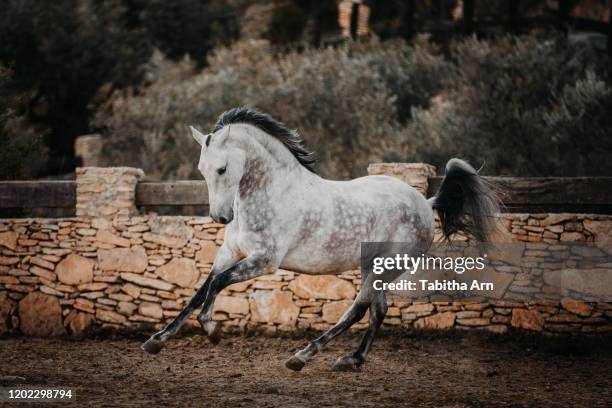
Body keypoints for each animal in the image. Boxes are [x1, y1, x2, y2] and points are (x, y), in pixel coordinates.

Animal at [141, 107, 500, 372]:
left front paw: (211, 330)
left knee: (358, 309)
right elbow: (201, 289)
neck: (270, 191)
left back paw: (302, 357)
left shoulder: (264, 261)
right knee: (378, 309)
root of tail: (425, 204)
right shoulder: (230, 252)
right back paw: (352, 360)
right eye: (201, 169)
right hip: (373, 265)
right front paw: (157, 340)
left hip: (387, 266)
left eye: (222, 168)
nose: (220, 217)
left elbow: (216, 286)